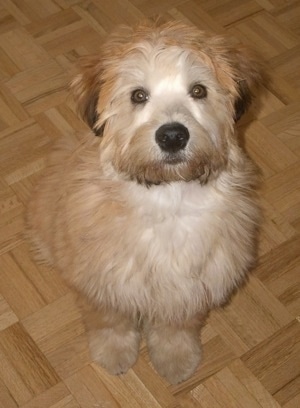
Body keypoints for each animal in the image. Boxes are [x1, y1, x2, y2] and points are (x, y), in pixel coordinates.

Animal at [27, 20, 264, 384]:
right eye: (138, 95)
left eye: (199, 91)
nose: (173, 136)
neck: (168, 201)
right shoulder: (102, 281)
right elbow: (110, 321)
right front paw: (113, 353)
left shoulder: (188, 288)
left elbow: (176, 327)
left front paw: (176, 358)